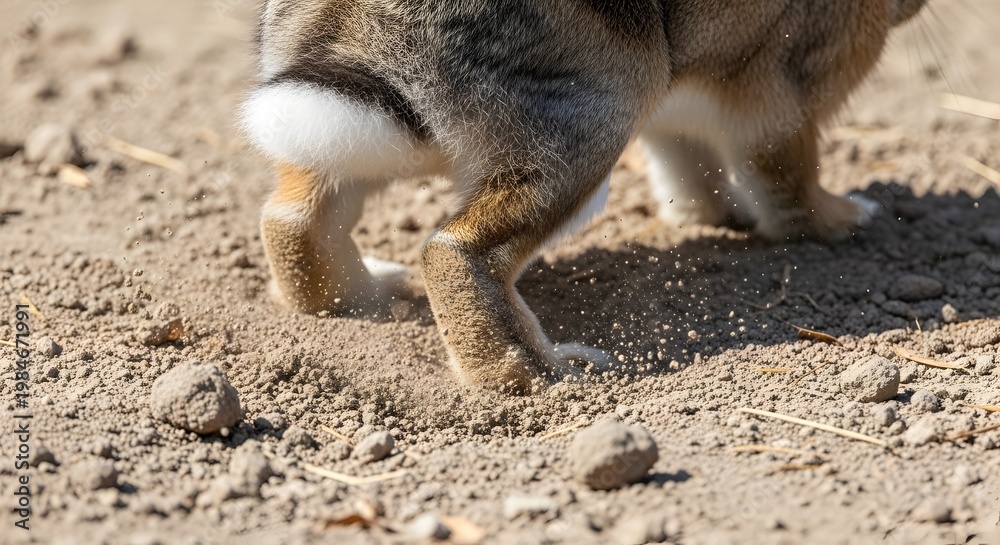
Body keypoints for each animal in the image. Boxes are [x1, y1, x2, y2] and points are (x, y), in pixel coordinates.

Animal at [240, 0, 927, 393]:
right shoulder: (786, 89)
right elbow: (787, 173)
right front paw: (847, 219)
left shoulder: (678, 115)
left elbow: (689, 165)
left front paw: (720, 216)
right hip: (589, 125)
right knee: (457, 251)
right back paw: (551, 379)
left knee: (293, 218)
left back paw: (365, 300)